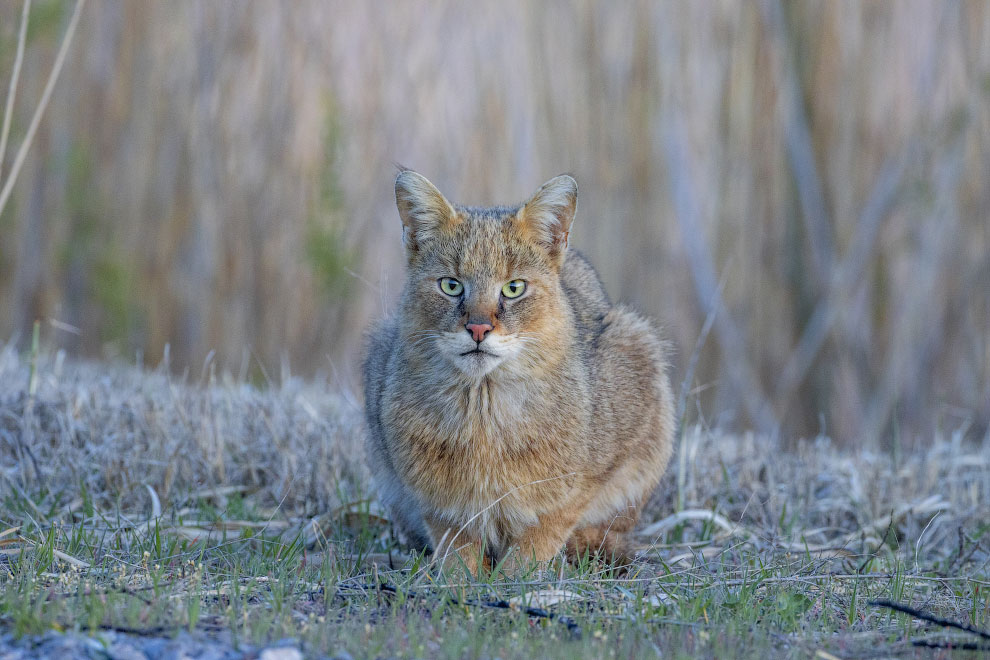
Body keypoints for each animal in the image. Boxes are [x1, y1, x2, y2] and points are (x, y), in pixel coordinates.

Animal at [362, 169, 676, 572]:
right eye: (451, 285)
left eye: (513, 288)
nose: (478, 328)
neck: (483, 411)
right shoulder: (435, 500)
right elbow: (456, 546)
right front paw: (462, 578)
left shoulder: (591, 477)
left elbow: (545, 530)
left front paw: (518, 576)